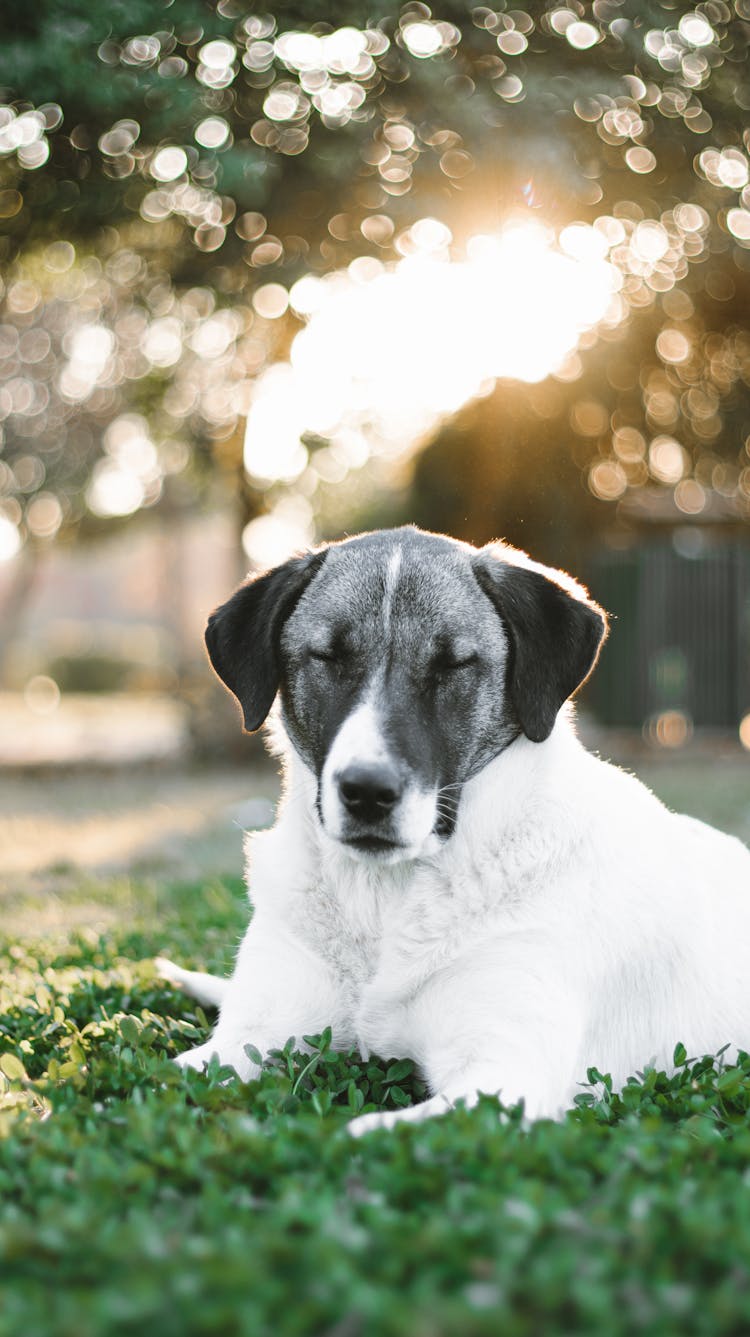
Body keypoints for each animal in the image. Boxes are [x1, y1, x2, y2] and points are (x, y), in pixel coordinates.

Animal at [156, 526, 748, 1133]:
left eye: (454, 665)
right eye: (328, 657)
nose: (367, 792)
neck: (387, 896)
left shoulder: (503, 1079)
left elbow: (358, 1132)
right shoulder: (246, 1038)